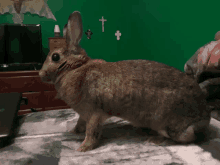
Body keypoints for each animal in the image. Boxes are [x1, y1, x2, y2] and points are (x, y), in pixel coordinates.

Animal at [39, 10, 211, 151]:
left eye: (55, 57)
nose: (40, 74)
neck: (75, 68)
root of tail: (204, 119)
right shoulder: (84, 114)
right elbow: (80, 123)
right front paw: (73, 131)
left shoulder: (94, 112)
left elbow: (92, 132)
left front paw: (83, 148)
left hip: (168, 122)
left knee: (187, 138)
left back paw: (155, 140)